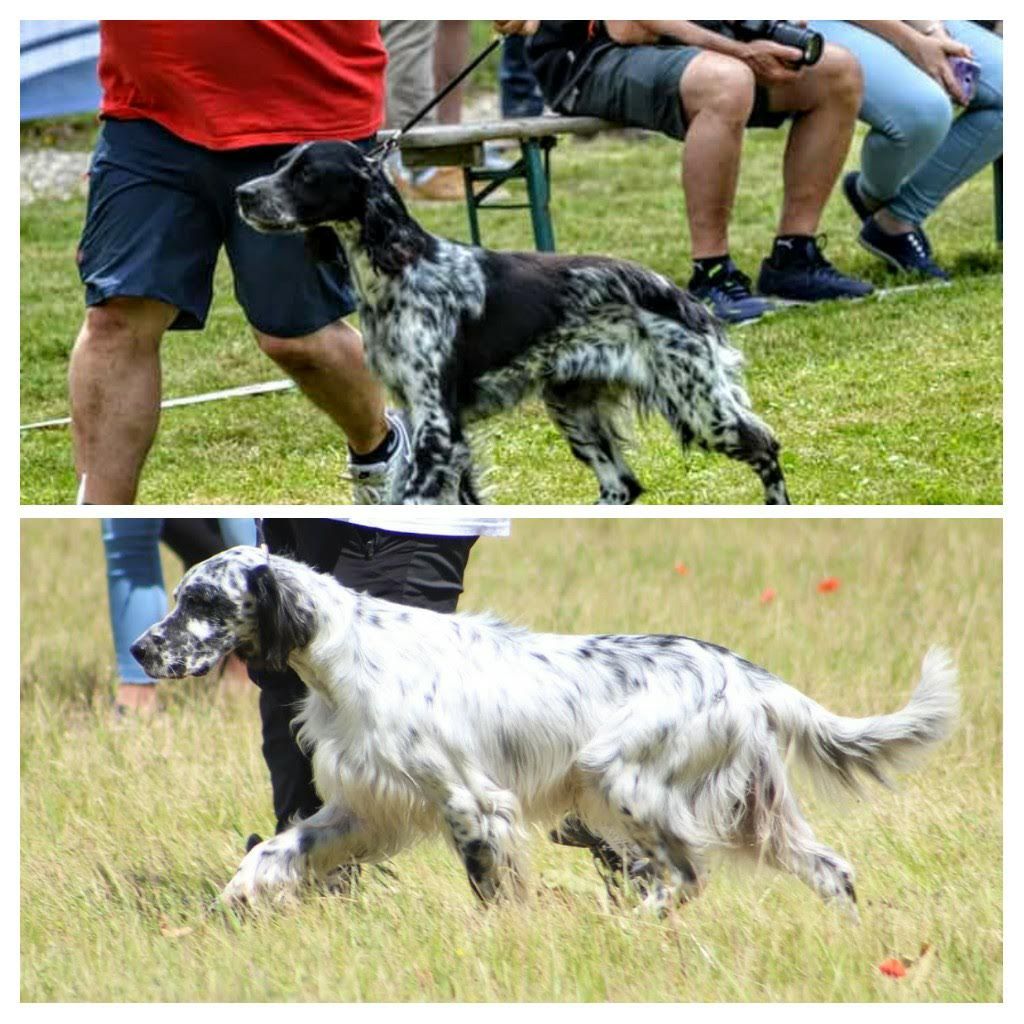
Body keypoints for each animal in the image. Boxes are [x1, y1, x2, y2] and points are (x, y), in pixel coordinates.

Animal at [132, 548, 954, 917]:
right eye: (179, 597)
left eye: (202, 601)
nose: (140, 650)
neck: (345, 653)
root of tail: (743, 672)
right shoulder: (364, 805)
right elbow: (279, 847)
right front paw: (240, 891)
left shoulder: (471, 802)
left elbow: (490, 884)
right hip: (757, 809)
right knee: (831, 869)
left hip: (618, 777)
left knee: (685, 877)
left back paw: (629, 923)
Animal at [237, 142, 790, 505]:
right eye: (280, 165)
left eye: (307, 174)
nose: (243, 193)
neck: (400, 267)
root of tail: (681, 295)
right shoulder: (426, 420)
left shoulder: (437, 425)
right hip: (572, 405)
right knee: (622, 485)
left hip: (699, 403)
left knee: (766, 446)